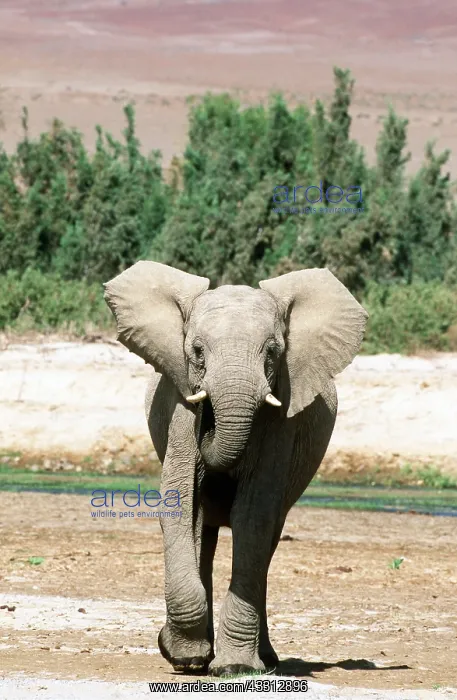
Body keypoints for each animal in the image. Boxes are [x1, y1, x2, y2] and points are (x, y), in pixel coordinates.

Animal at [104, 261, 368, 677]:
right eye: (196, 351)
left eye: (273, 352)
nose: (209, 423)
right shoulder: (181, 407)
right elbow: (181, 504)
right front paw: (183, 657)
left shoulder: (281, 417)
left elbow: (253, 514)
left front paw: (233, 668)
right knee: (205, 535)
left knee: (266, 540)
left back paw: (265, 661)